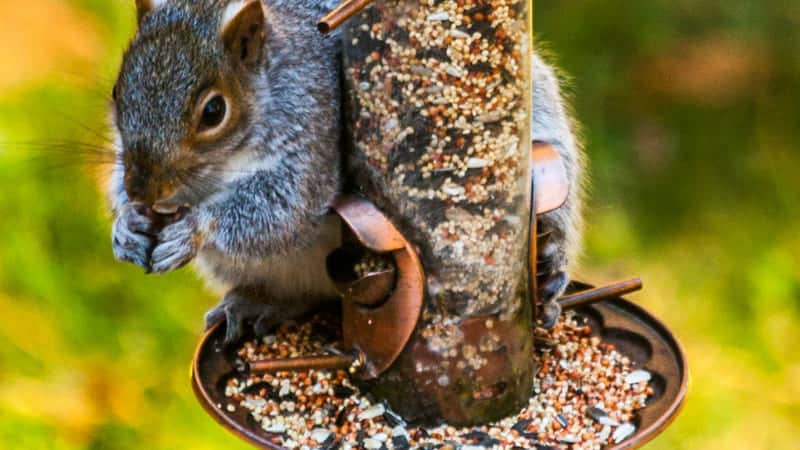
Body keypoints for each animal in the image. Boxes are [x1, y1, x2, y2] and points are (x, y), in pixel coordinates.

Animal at [108, 0, 580, 342]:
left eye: (213, 111)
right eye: (117, 90)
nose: (143, 191)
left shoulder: (312, 128)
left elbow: (283, 210)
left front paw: (192, 230)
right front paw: (127, 224)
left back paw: (550, 263)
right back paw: (257, 305)